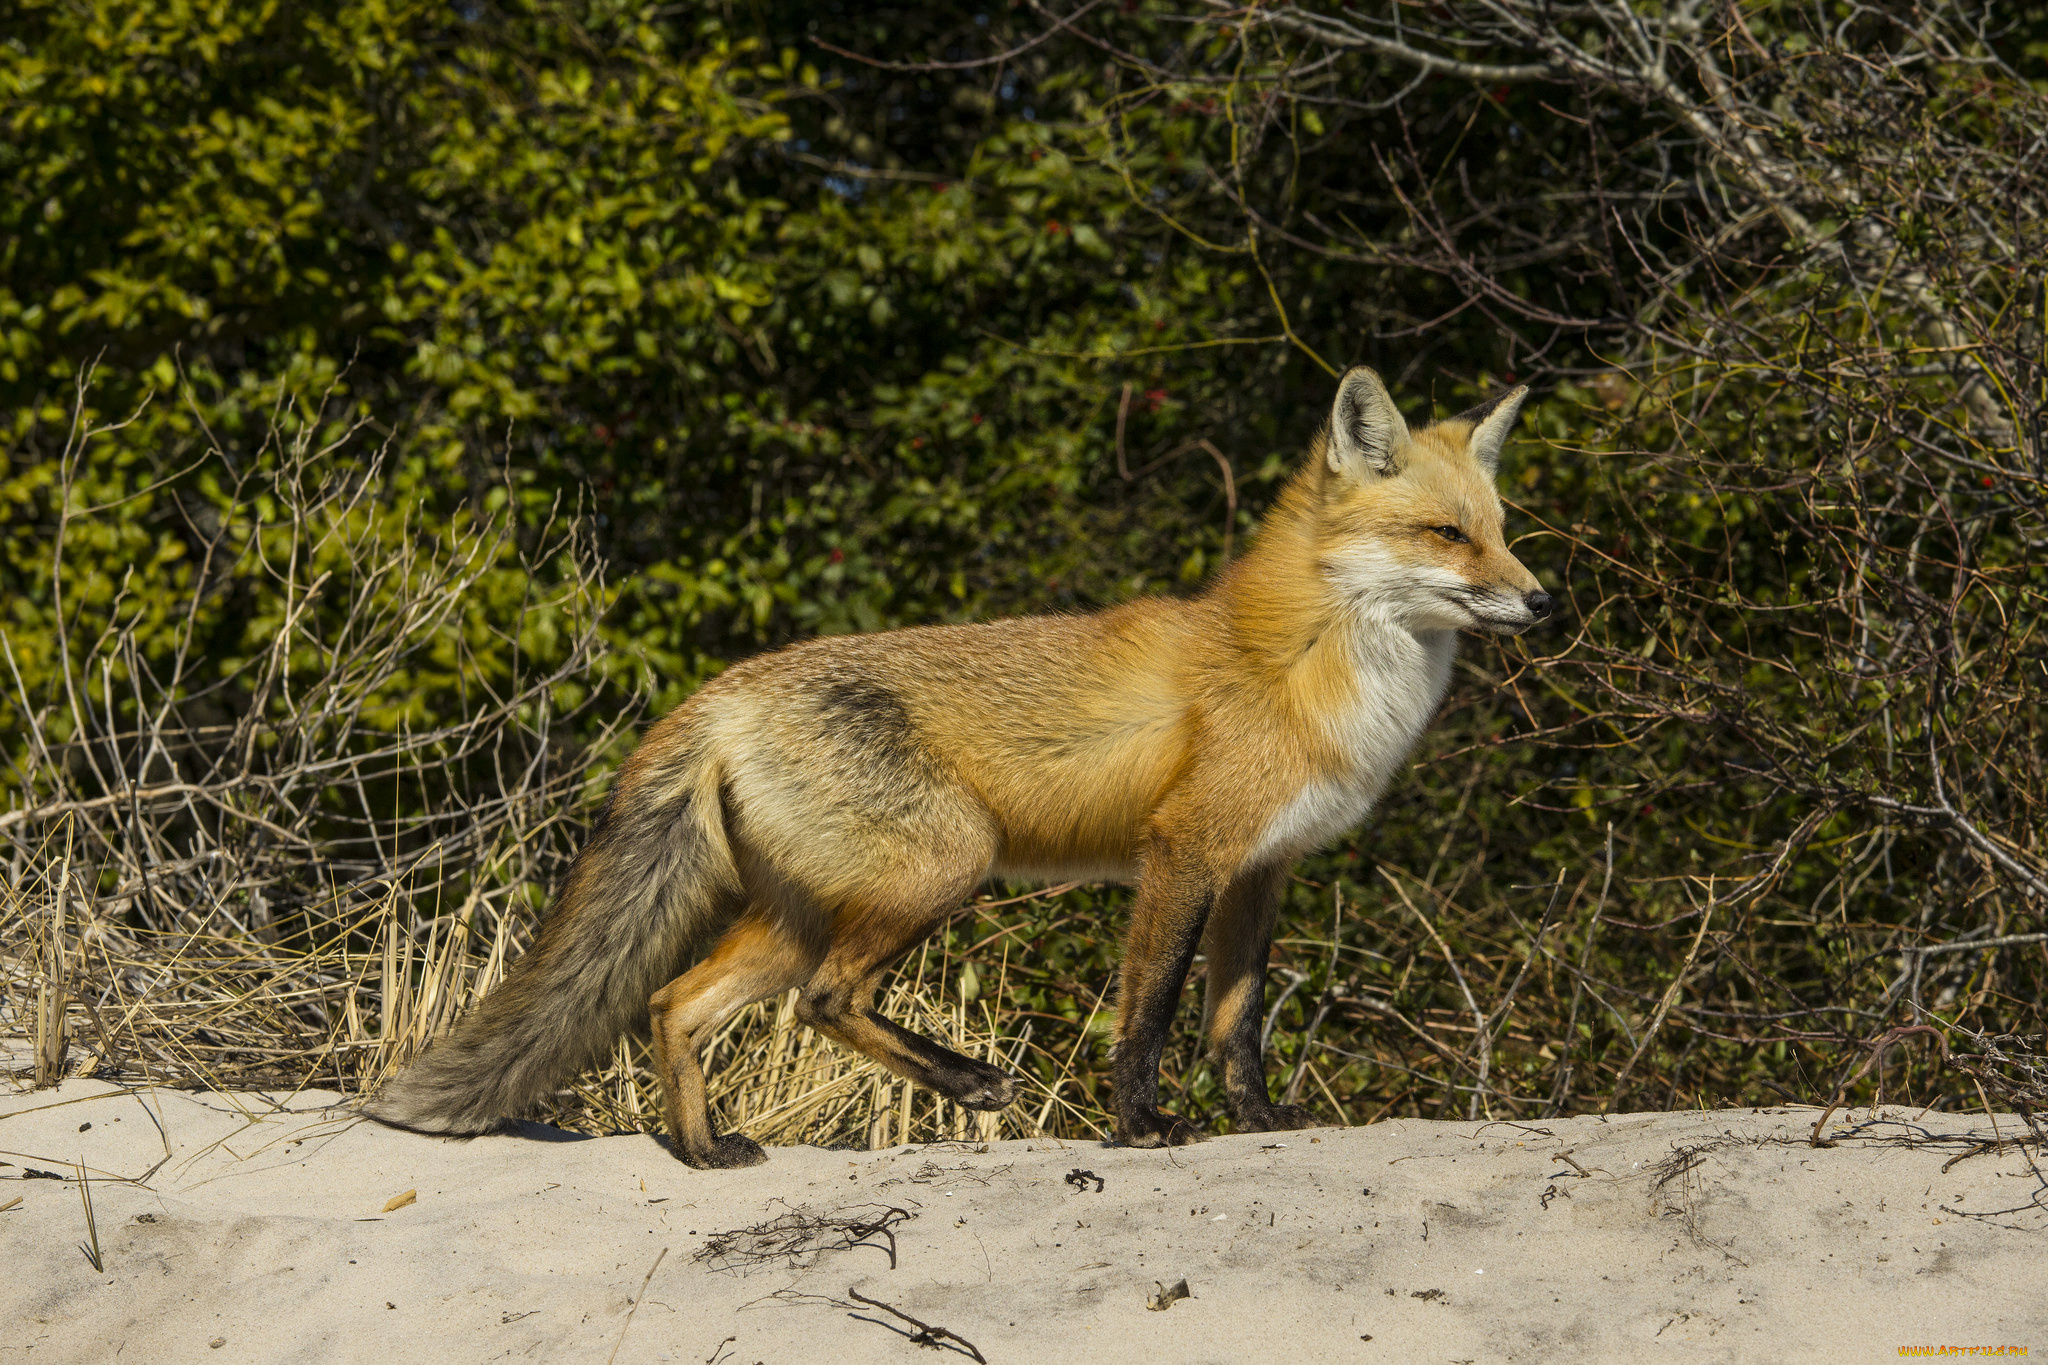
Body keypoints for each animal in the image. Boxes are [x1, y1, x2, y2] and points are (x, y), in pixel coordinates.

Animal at [368, 368, 1548, 1170]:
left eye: (1501, 532)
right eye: (1446, 535)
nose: (1542, 599)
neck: (1298, 661)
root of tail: (718, 692)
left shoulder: (1260, 872)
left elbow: (1236, 1026)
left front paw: (1260, 1123)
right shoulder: (1186, 852)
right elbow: (1150, 1016)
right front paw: (1139, 1126)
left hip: (801, 914)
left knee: (675, 1001)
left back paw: (704, 1151)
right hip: (945, 864)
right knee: (823, 1001)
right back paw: (966, 1080)